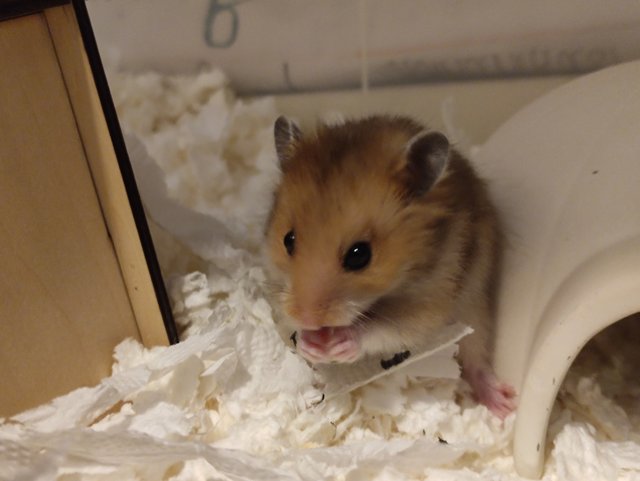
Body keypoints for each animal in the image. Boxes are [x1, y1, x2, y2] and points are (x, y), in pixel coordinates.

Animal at [264, 114, 516, 418]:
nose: (308, 318)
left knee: (476, 358)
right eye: (288, 240)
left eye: (359, 255)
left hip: (475, 311)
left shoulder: (428, 304)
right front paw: (310, 343)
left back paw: (504, 407)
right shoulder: (278, 291)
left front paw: (339, 342)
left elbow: (383, 330)